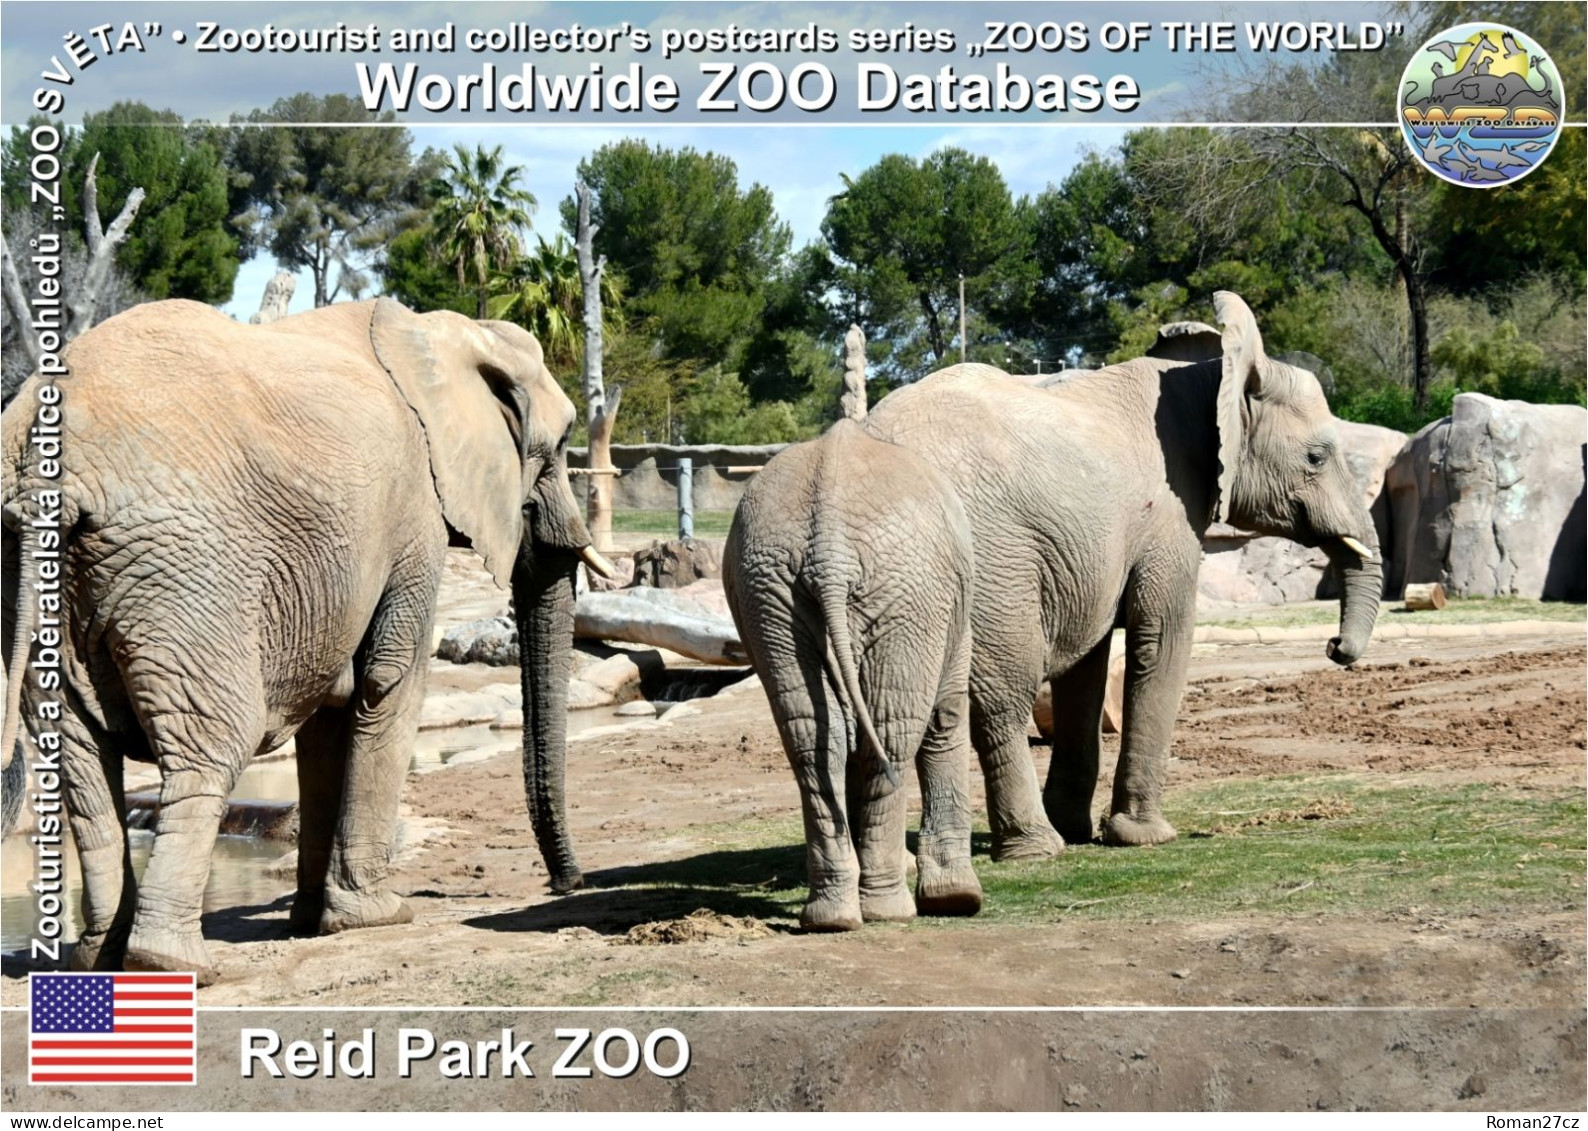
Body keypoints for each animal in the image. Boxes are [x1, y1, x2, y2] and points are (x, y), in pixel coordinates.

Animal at [1, 298, 612, 978]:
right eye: (560, 445)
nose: (566, 882)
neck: (442, 332)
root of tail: (49, 475)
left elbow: (330, 710)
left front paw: (312, 920)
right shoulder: (413, 511)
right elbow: (388, 682)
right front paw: (377, 916)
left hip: (42, 584)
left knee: (78, 757)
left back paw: (97, 957)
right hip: (183, 574)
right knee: (211, 744)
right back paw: (172, 964)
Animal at [724, 419, 978, 934]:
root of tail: (830, 548)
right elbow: (945, 715)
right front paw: (958, 898)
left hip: (768, 588)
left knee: (810, 736)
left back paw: (831, 918)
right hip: (909, 592)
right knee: (894, 732)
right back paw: (886, 910)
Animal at [863, 292, 1384, 857]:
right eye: (1317, 457)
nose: (1335, 647)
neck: (1211, 375)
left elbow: (1085, 663)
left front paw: (1080, 828)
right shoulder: (1168, 513)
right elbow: (1163, 636)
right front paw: (1144, 837)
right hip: (993, 554)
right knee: (1003, 691)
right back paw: (1036, 848)